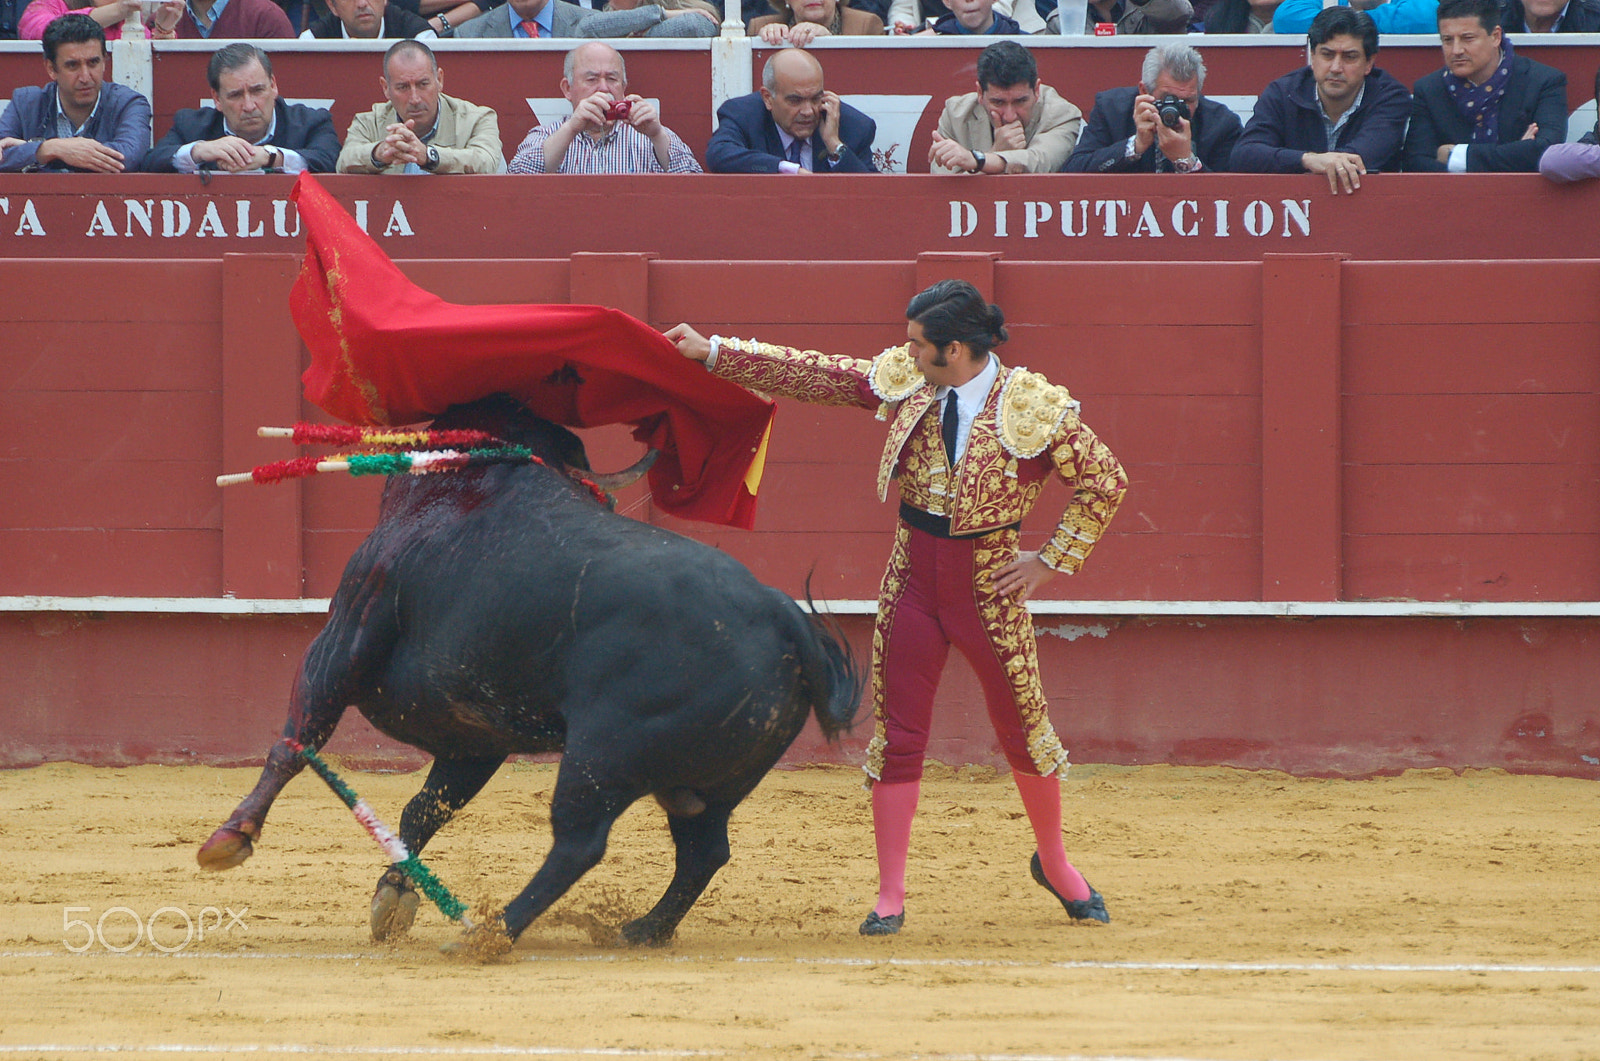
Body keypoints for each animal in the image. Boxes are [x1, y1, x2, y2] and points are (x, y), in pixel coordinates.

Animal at [206, 398, 870, 947]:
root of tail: (780, 613)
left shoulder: (338, 645)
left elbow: (296, 743)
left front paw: (229, 839)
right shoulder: (474, 736)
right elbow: (424, 809)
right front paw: (394, 895)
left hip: (601, 756)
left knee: (580, 844)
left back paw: (493, 931)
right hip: (703, 783)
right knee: (704, 851)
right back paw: (642, 930)